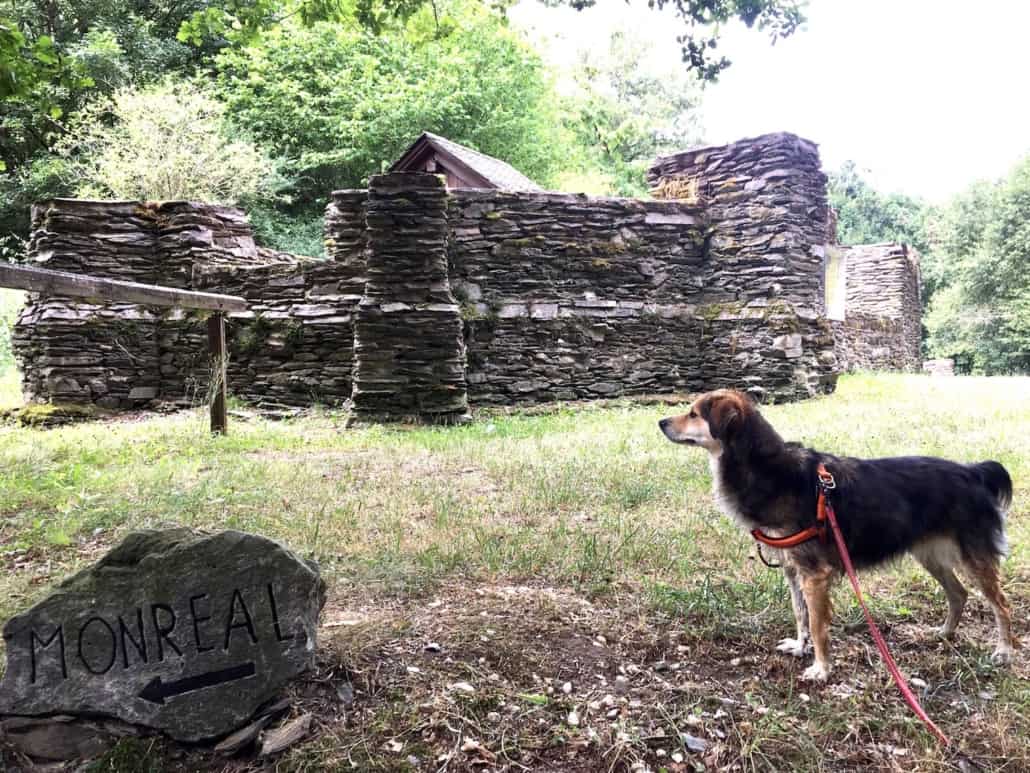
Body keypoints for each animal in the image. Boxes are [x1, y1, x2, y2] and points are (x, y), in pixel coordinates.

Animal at [659, 389, 1013, 680]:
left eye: (694, 414)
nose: (661, 422)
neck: (767, 467)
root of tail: (972, 471)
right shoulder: (793, 568)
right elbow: (800, 614)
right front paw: (800, 648)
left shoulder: (814, 574)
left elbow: (817, 625)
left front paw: (821, 668)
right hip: (930, 555)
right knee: (959, 593)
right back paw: (944, 633)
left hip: (974, 556)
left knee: (1001, 604)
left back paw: (1004, 650)